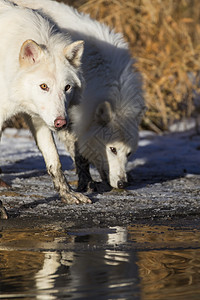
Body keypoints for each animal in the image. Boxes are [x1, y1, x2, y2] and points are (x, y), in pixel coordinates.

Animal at [0, 0, 90, 217]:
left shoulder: (38, 118)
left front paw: (68, 195)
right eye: (43, 86)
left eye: (67, 87)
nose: (61, 122)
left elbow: (54, 160)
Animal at [13, 0, 145, 191]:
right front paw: (86, 182)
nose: (122, 183)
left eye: (129, 153)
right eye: (112, 149)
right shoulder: (67, 117)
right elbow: (78, 153)